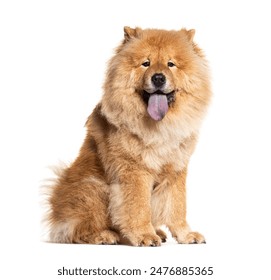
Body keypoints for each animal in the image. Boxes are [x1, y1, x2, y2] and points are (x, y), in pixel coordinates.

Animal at [46, 25, 212, 245]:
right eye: (145, 63)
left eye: (171, 64)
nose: (158, 77)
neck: (158, 128)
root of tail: (56, 218)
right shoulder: (134, 171)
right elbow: (138, 207)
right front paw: (145, 236)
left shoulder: (176, 170)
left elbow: (177, 206)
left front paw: (186, 235)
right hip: (93, 188)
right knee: (78, 230)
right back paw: (106, 235)